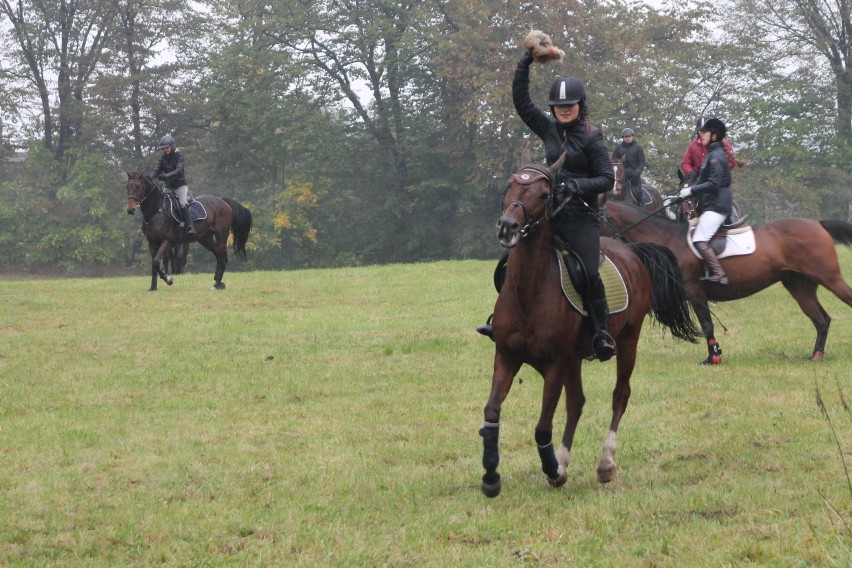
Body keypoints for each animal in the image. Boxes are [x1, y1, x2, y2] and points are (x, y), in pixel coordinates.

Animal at [480, 146, 700, 496]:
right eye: (510, 186)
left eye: (544, 194)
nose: (507, 226)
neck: (530, 291)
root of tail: (631, 251)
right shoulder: (507, 356)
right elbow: (492, 411)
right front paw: (491, 475)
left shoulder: (554, 366)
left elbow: (543, 426)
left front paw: (551, 469)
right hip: (575, 358)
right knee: (577, 403)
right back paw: (564, 463)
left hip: (628, 341)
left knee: (620, 396)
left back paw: (604, 464)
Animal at [600, 202, 852, 362]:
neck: (668, 238)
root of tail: (817, 224)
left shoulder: (695, 293)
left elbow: (707, 324)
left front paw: (714, 357)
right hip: (799, 286)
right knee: (821, 320)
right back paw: (816, 356)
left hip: (830, 278)